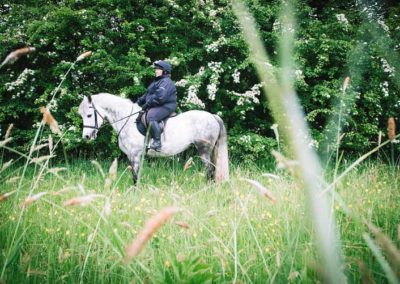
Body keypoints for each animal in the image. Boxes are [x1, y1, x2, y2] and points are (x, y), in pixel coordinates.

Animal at [79, 93, 228, 184]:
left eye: (89, 115)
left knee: (210, 170)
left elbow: (135, 176)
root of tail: (212, 116)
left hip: (204, 150)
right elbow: (136, 175)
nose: (86, 136)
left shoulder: (134, 155)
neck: (128, 121)